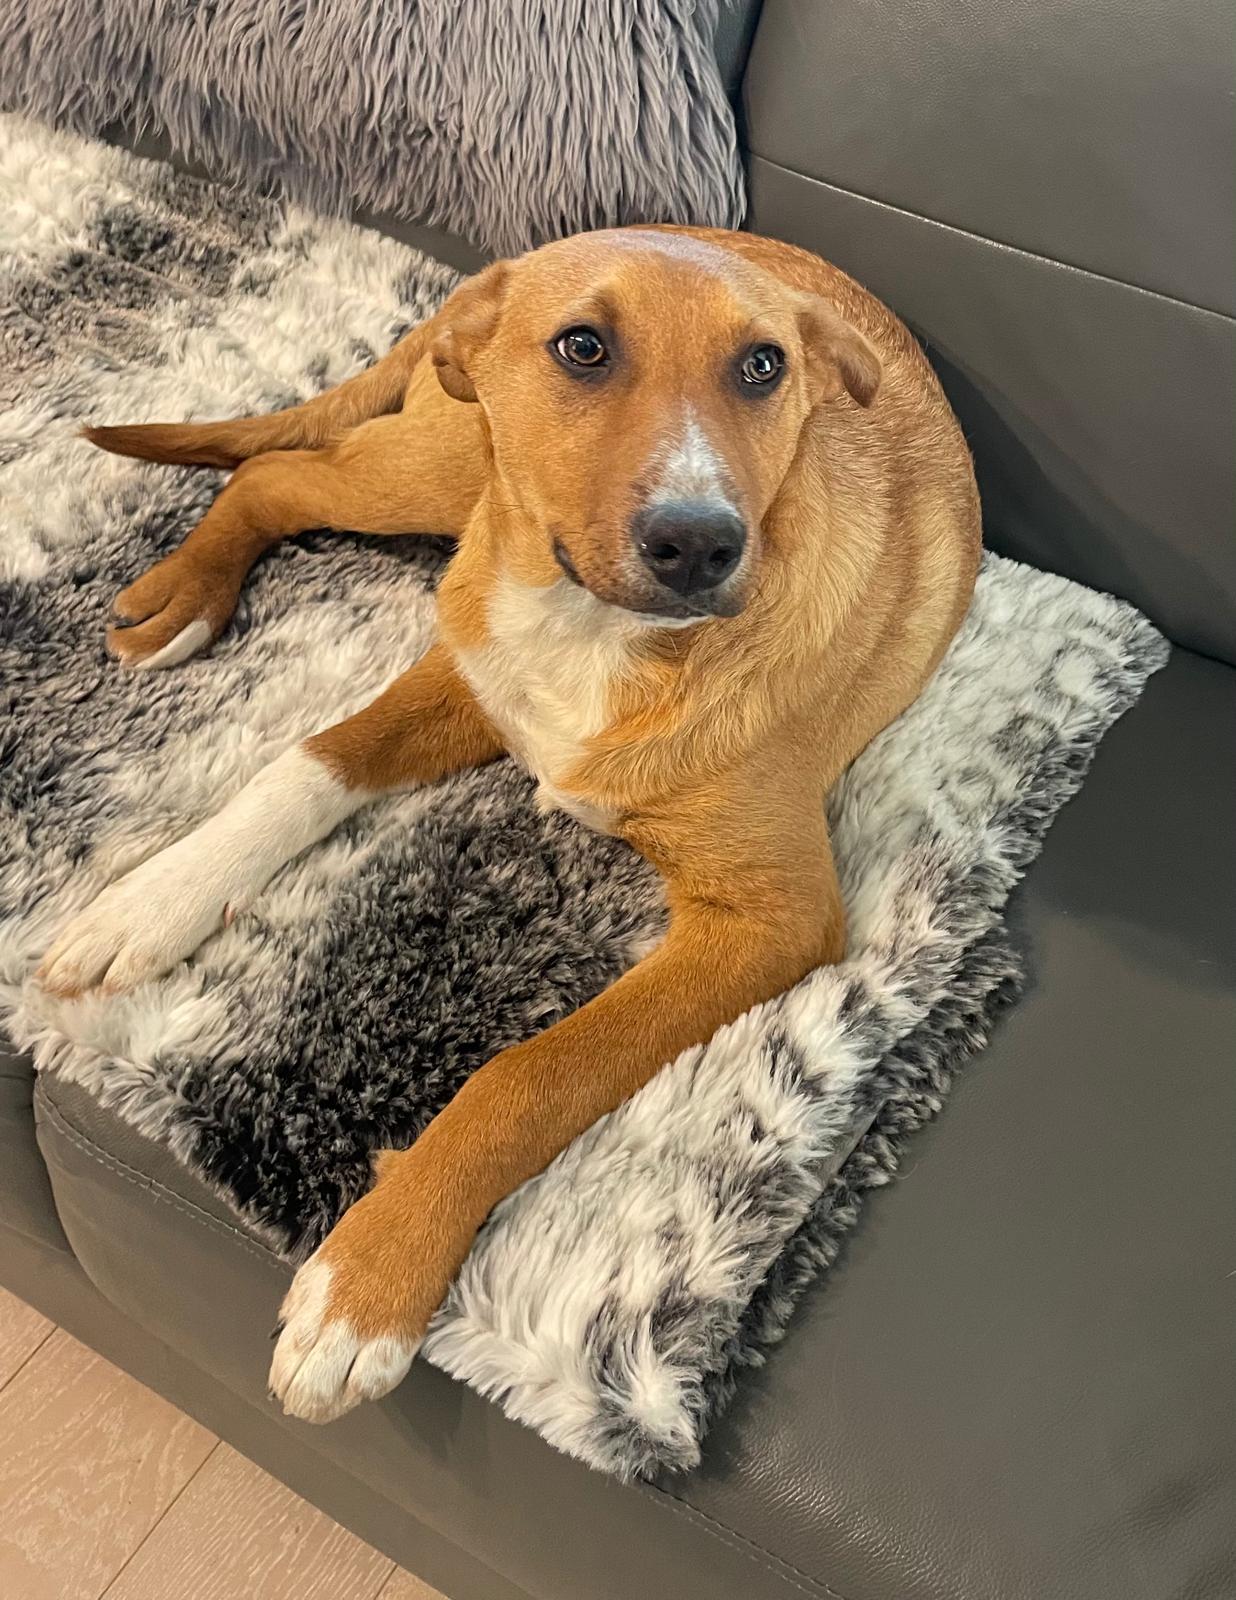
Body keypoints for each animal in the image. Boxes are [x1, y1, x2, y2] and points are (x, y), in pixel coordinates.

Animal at [36, 225, 980, 1421]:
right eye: (582, 346)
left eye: (765, 366)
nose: (701, 545)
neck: (593, 632)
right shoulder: (468, 668)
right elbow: (306, 763)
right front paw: (150, 899)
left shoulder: (772, 914)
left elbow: (528, 1074)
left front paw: (367, 1279)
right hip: (446, 477)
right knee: (280, 470)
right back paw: (186, 591)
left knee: (278, 468)